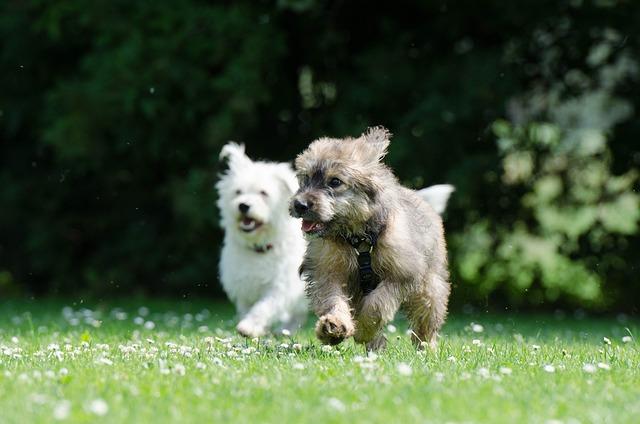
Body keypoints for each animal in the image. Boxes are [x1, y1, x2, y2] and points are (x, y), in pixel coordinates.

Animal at [215, 143, 308, 338]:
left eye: (263, 193)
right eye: (238, 192)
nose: (243, 205)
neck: (259, 246)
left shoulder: (280, 286)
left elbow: (264, 307)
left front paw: (249, 326)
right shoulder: (244, 287)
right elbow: (247, 308)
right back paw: (286, 330)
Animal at [290, 126, 450, 352]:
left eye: (335, 181)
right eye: (306, 177)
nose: (300, 205)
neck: (358, 239)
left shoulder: (402, 274)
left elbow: (377, 305)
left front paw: (363, 329)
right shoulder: (328, 272)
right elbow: (333, 299)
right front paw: (334, 326)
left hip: (430, 288)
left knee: (426, 321)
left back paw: (426, 349)